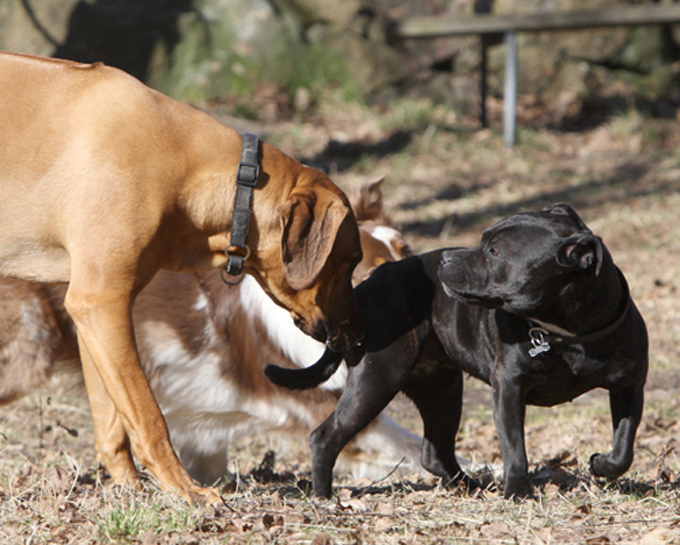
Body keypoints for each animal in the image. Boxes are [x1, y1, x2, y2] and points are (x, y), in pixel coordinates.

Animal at [0, 52, 364, 502]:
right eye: (350, 261)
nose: (358, 334)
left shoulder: (93, 310)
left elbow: (112, 423)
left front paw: (131, 491)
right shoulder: (102, 302)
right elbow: (149, 416)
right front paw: (184, 488)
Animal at [266, 203, 648, 498]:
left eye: (495, 251)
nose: (447, 257)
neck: (567, 330)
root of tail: (363, 288)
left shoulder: (629, 386)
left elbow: (624, 446)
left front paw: (602, 464)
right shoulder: (509, 388)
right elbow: (514, 446)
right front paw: (518, 492)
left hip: (442, 390)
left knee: (435, 451)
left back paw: (471, 486)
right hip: (378, 380)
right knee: (325, 436)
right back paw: (323, 497)